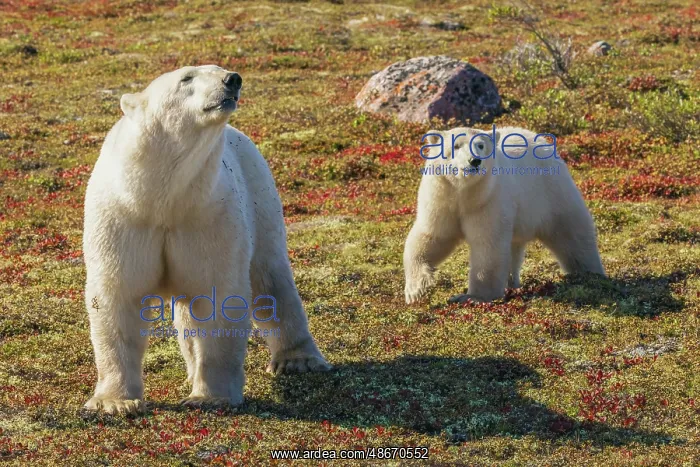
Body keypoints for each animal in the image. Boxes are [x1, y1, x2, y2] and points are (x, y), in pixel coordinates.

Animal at [82, 65, 330, 415]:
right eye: (186, 78)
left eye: (220, 68)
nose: (232, 80)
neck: (161, 197)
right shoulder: (123, 219)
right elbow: (117, 295)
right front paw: (114, 402)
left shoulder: (208, 216)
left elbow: (218, 297)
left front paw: (210, 397)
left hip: (260, 198)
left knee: (271, 280)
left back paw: (299, 360)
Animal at [404, 126, 605, 304]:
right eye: (456, 146)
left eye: (480, 145)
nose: (474, 161)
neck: (465, 193)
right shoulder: (442, 198)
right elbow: (433, 236)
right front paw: (415, 290)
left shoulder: (489, 199)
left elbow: (488, 245)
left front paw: (472, 297)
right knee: (515, 246)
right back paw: (512, 282)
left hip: (551, 193)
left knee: (572, 234)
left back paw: (590, 274)